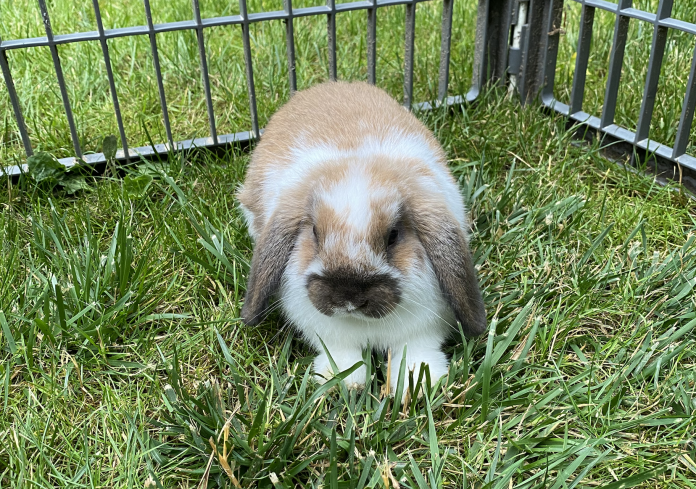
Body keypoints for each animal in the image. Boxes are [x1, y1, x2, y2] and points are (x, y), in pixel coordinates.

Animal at [237, 81, 487, 395]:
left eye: (393, 236)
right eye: (315, 233)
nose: (349, 297)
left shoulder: (424, 330)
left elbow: (417, 351)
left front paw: (416, 384)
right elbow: (341, 353)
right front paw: (342, 380)